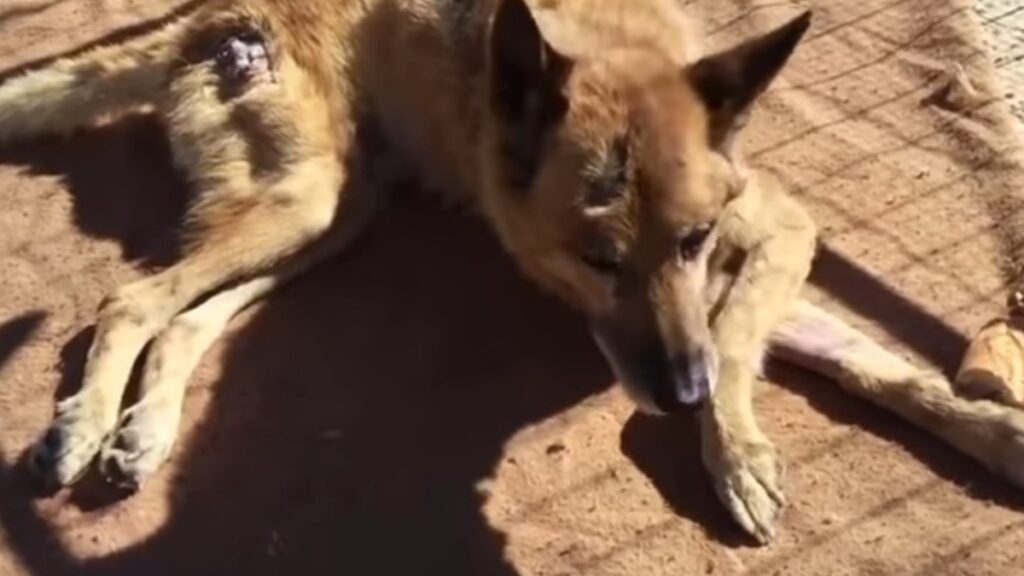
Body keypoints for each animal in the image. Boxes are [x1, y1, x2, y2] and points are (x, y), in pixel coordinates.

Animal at [2, 0, 1024, 541]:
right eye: (597, 259)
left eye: (693, 241)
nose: (683, 399)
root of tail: (204, 16)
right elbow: (739, 345)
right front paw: (736, 454)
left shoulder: (771, 238)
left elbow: (866, 364)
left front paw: (991, 435)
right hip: (304, 203)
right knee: (131, 297)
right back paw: (85, 428)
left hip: (335, 213)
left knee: (182, 316)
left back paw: (143, 434)